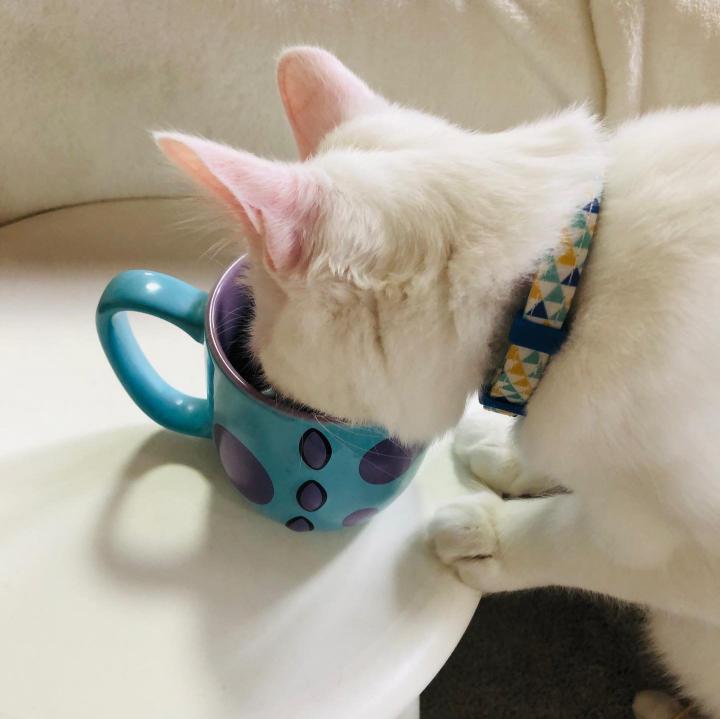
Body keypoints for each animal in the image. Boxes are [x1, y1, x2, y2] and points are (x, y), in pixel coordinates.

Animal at [155, 46, 720, 719]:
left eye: (261, 352)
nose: (256, 377)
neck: (554, 294)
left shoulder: (688, 549)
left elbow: (579, 541)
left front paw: (487, 535)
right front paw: (507, 455)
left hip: (682, 633)